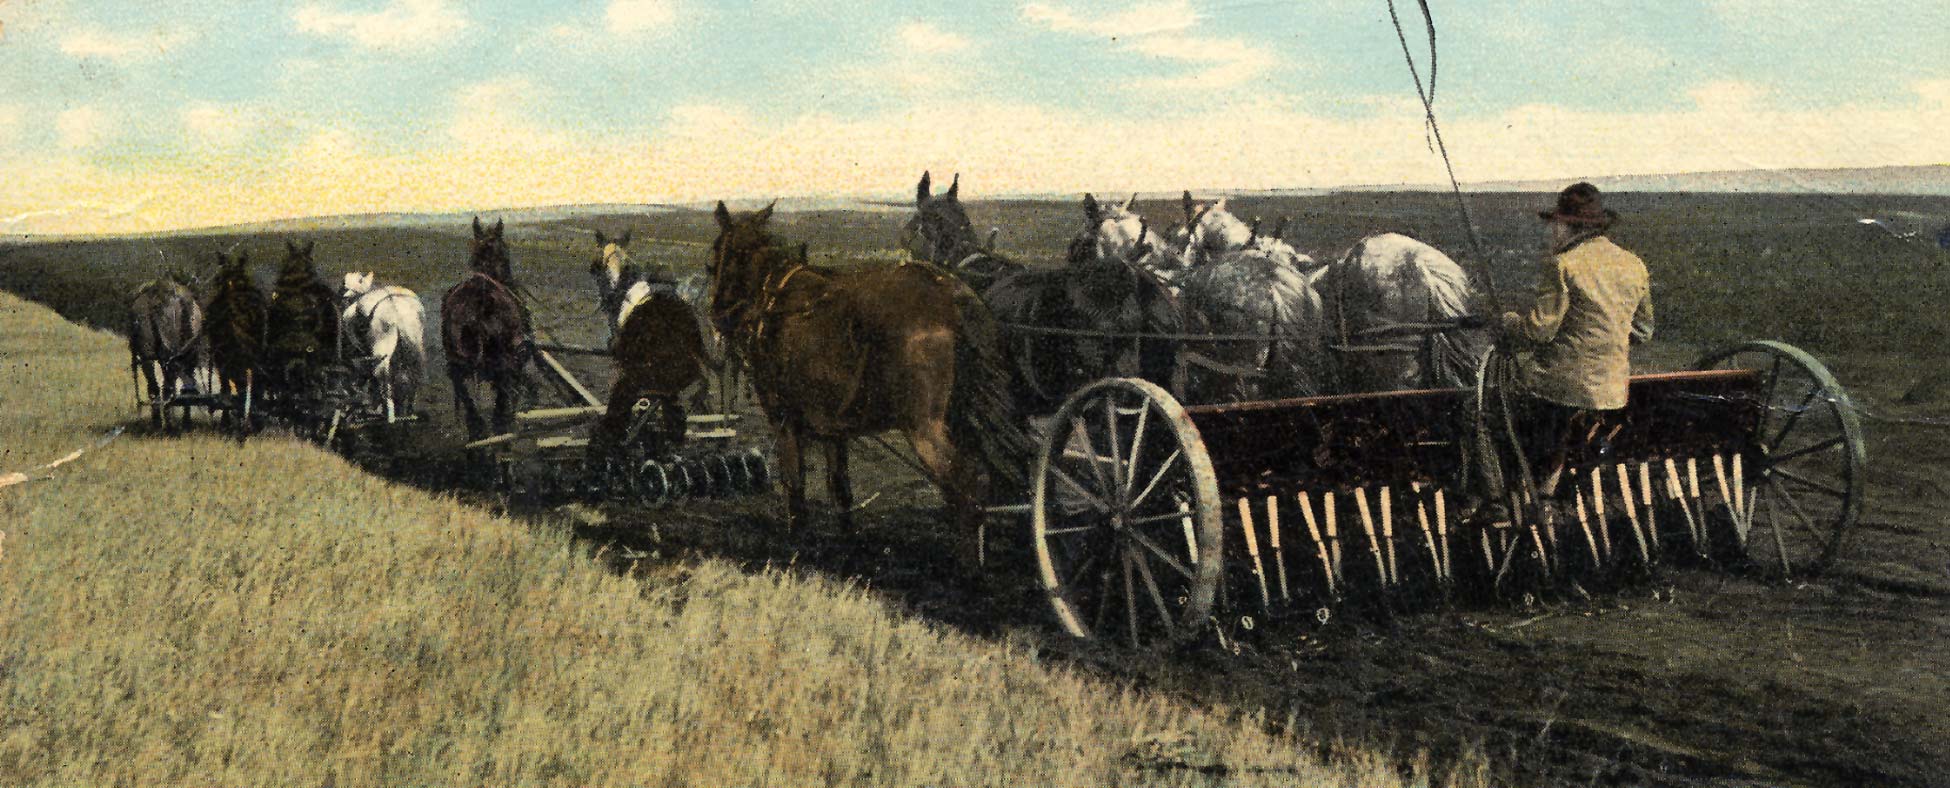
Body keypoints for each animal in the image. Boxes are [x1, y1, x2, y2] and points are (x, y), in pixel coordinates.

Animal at [339, 271, 423, 421]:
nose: (344, 296)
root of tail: (395, 306)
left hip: (381, 352)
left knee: (383, 382)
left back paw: (389, 416)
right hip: (414, 349)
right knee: (413, 377)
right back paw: (409, 414)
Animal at [442, 217, 534, 436]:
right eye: (506, 251)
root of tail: (479, 301)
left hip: (457, 367)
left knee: (470, 406)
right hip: (504, 362)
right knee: (499, 403)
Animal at [705, 199, 1037, 546]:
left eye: (716, 252)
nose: (716, 315)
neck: (774, 299)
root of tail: (951, 299)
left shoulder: (784, 418)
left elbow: (794, 486)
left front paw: (798, 543)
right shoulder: (831, 427)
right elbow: (841, 488)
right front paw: (849, 542)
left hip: (924, 427)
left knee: (968, 486)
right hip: (962, 421)